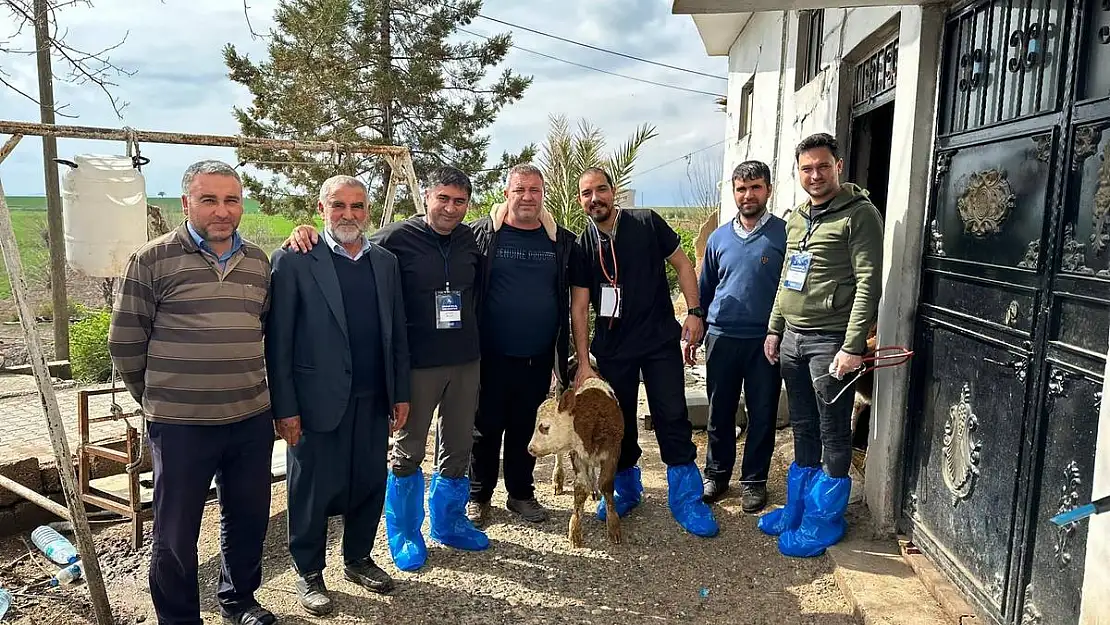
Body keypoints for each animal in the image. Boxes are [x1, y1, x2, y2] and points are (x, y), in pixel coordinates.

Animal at [528, 377, 626, 548]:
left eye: (544, 427)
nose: (530, 448)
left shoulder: (613, 451)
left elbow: (606, 484)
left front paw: (613, 525)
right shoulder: (576, 455)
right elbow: (581, 489)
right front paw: (574, 531)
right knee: (559, 456)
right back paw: (558, 480)